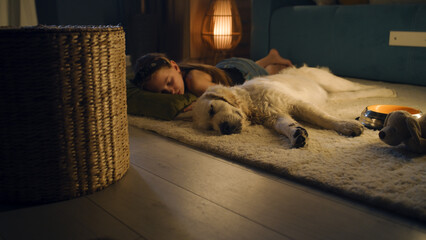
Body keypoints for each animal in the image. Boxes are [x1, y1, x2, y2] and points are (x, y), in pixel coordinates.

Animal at [193, 65, 396, 148]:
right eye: (210, 128)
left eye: (212, 109)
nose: (225, 129)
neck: (252, 102)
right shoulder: (275, 115)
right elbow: (286, 125)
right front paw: (297, 135)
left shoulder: (295, 103)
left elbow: (323, 118)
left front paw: (346, 126)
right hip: (333, 94)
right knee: (354, 94)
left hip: (334, 83)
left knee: (359, 87)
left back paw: (388, 91)